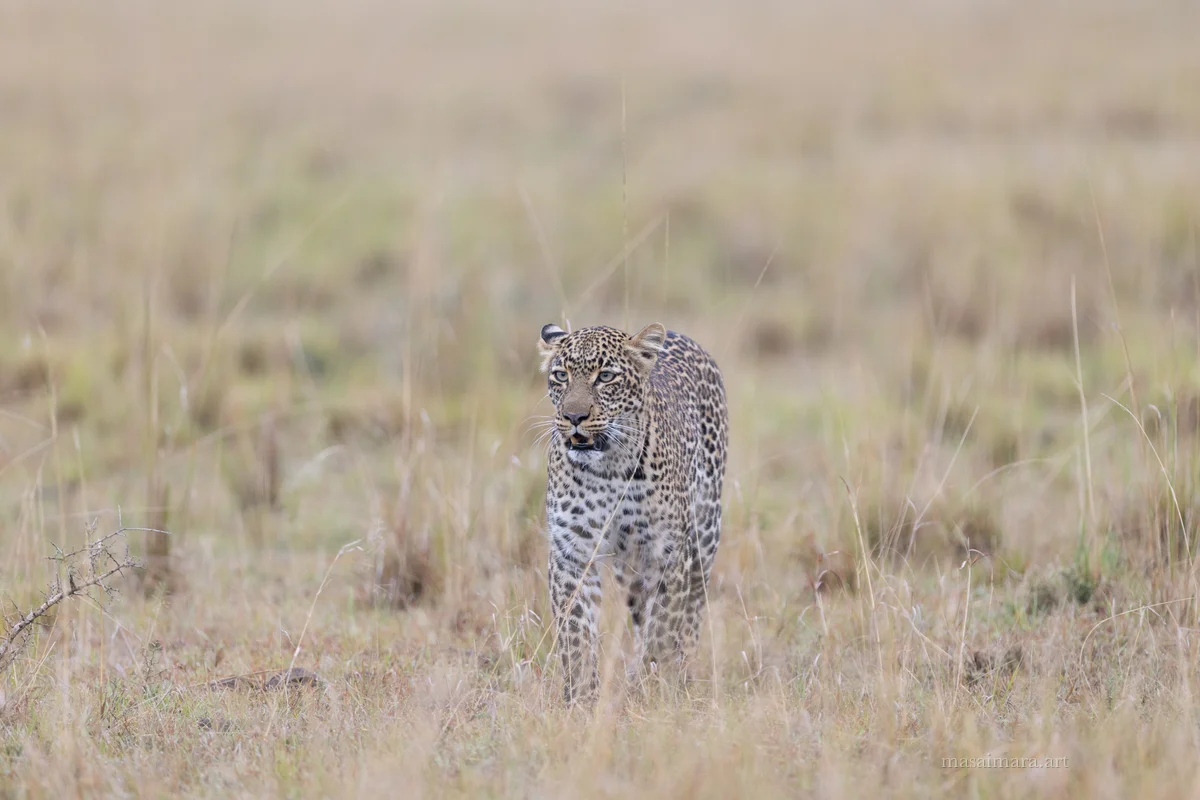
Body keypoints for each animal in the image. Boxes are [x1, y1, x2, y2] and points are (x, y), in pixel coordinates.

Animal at [537, 321, 728, 704]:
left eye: (605, 376)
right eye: (561, 375)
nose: (574, 417)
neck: (607, 468)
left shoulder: (669, 551)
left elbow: (664, 626)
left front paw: (652, 690)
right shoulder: (572, 552)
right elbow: (575, 634)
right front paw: (581, 699)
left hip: (704, 536)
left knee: (692, 611)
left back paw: (681, 672)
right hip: (632, 567)